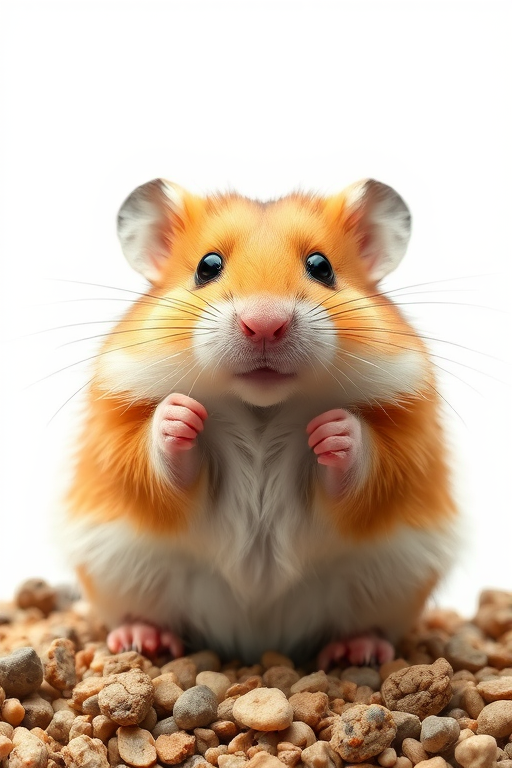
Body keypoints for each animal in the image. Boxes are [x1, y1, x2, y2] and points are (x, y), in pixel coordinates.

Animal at [64, 178, 458, 666]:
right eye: (207, 266)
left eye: (321, 266)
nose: (265, 323)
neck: (262, 407)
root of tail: (257, 641)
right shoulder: (117, 432)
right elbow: (160, 462)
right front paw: (181, 414)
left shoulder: (406, 436)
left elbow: (365, 469)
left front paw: (332, 429)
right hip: (121, 570)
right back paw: (143, 638)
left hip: (392, 581)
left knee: (367, 625)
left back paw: (355, 651)